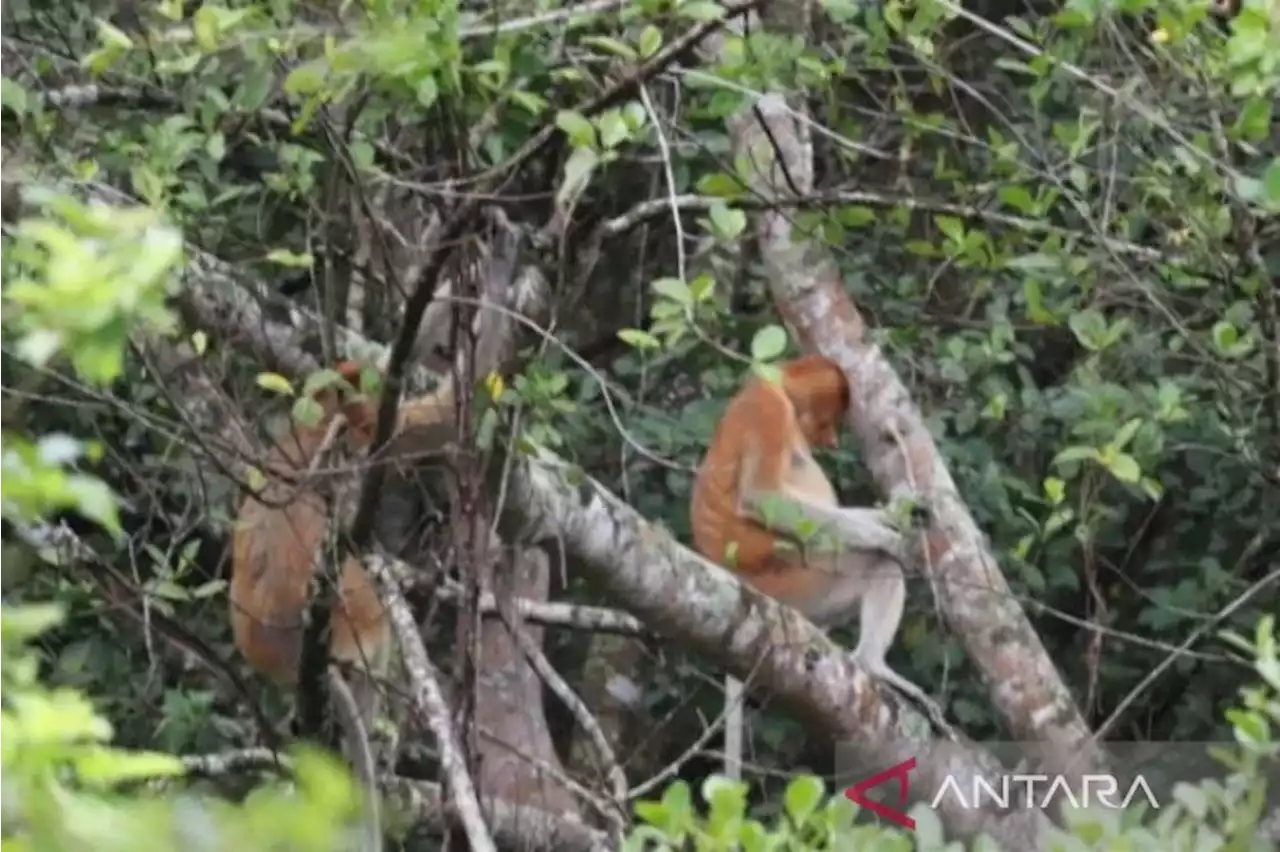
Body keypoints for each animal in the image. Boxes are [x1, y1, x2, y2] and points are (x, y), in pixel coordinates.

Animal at [691, 350, 942, 777]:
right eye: (828, 419)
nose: (831, 440)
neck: (775, 386)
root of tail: (736, 580)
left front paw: (900, 512)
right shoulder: (768, 411)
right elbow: (764, 497)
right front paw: (891, 538)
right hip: (801, 585)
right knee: (875, 563)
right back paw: (873, 663)